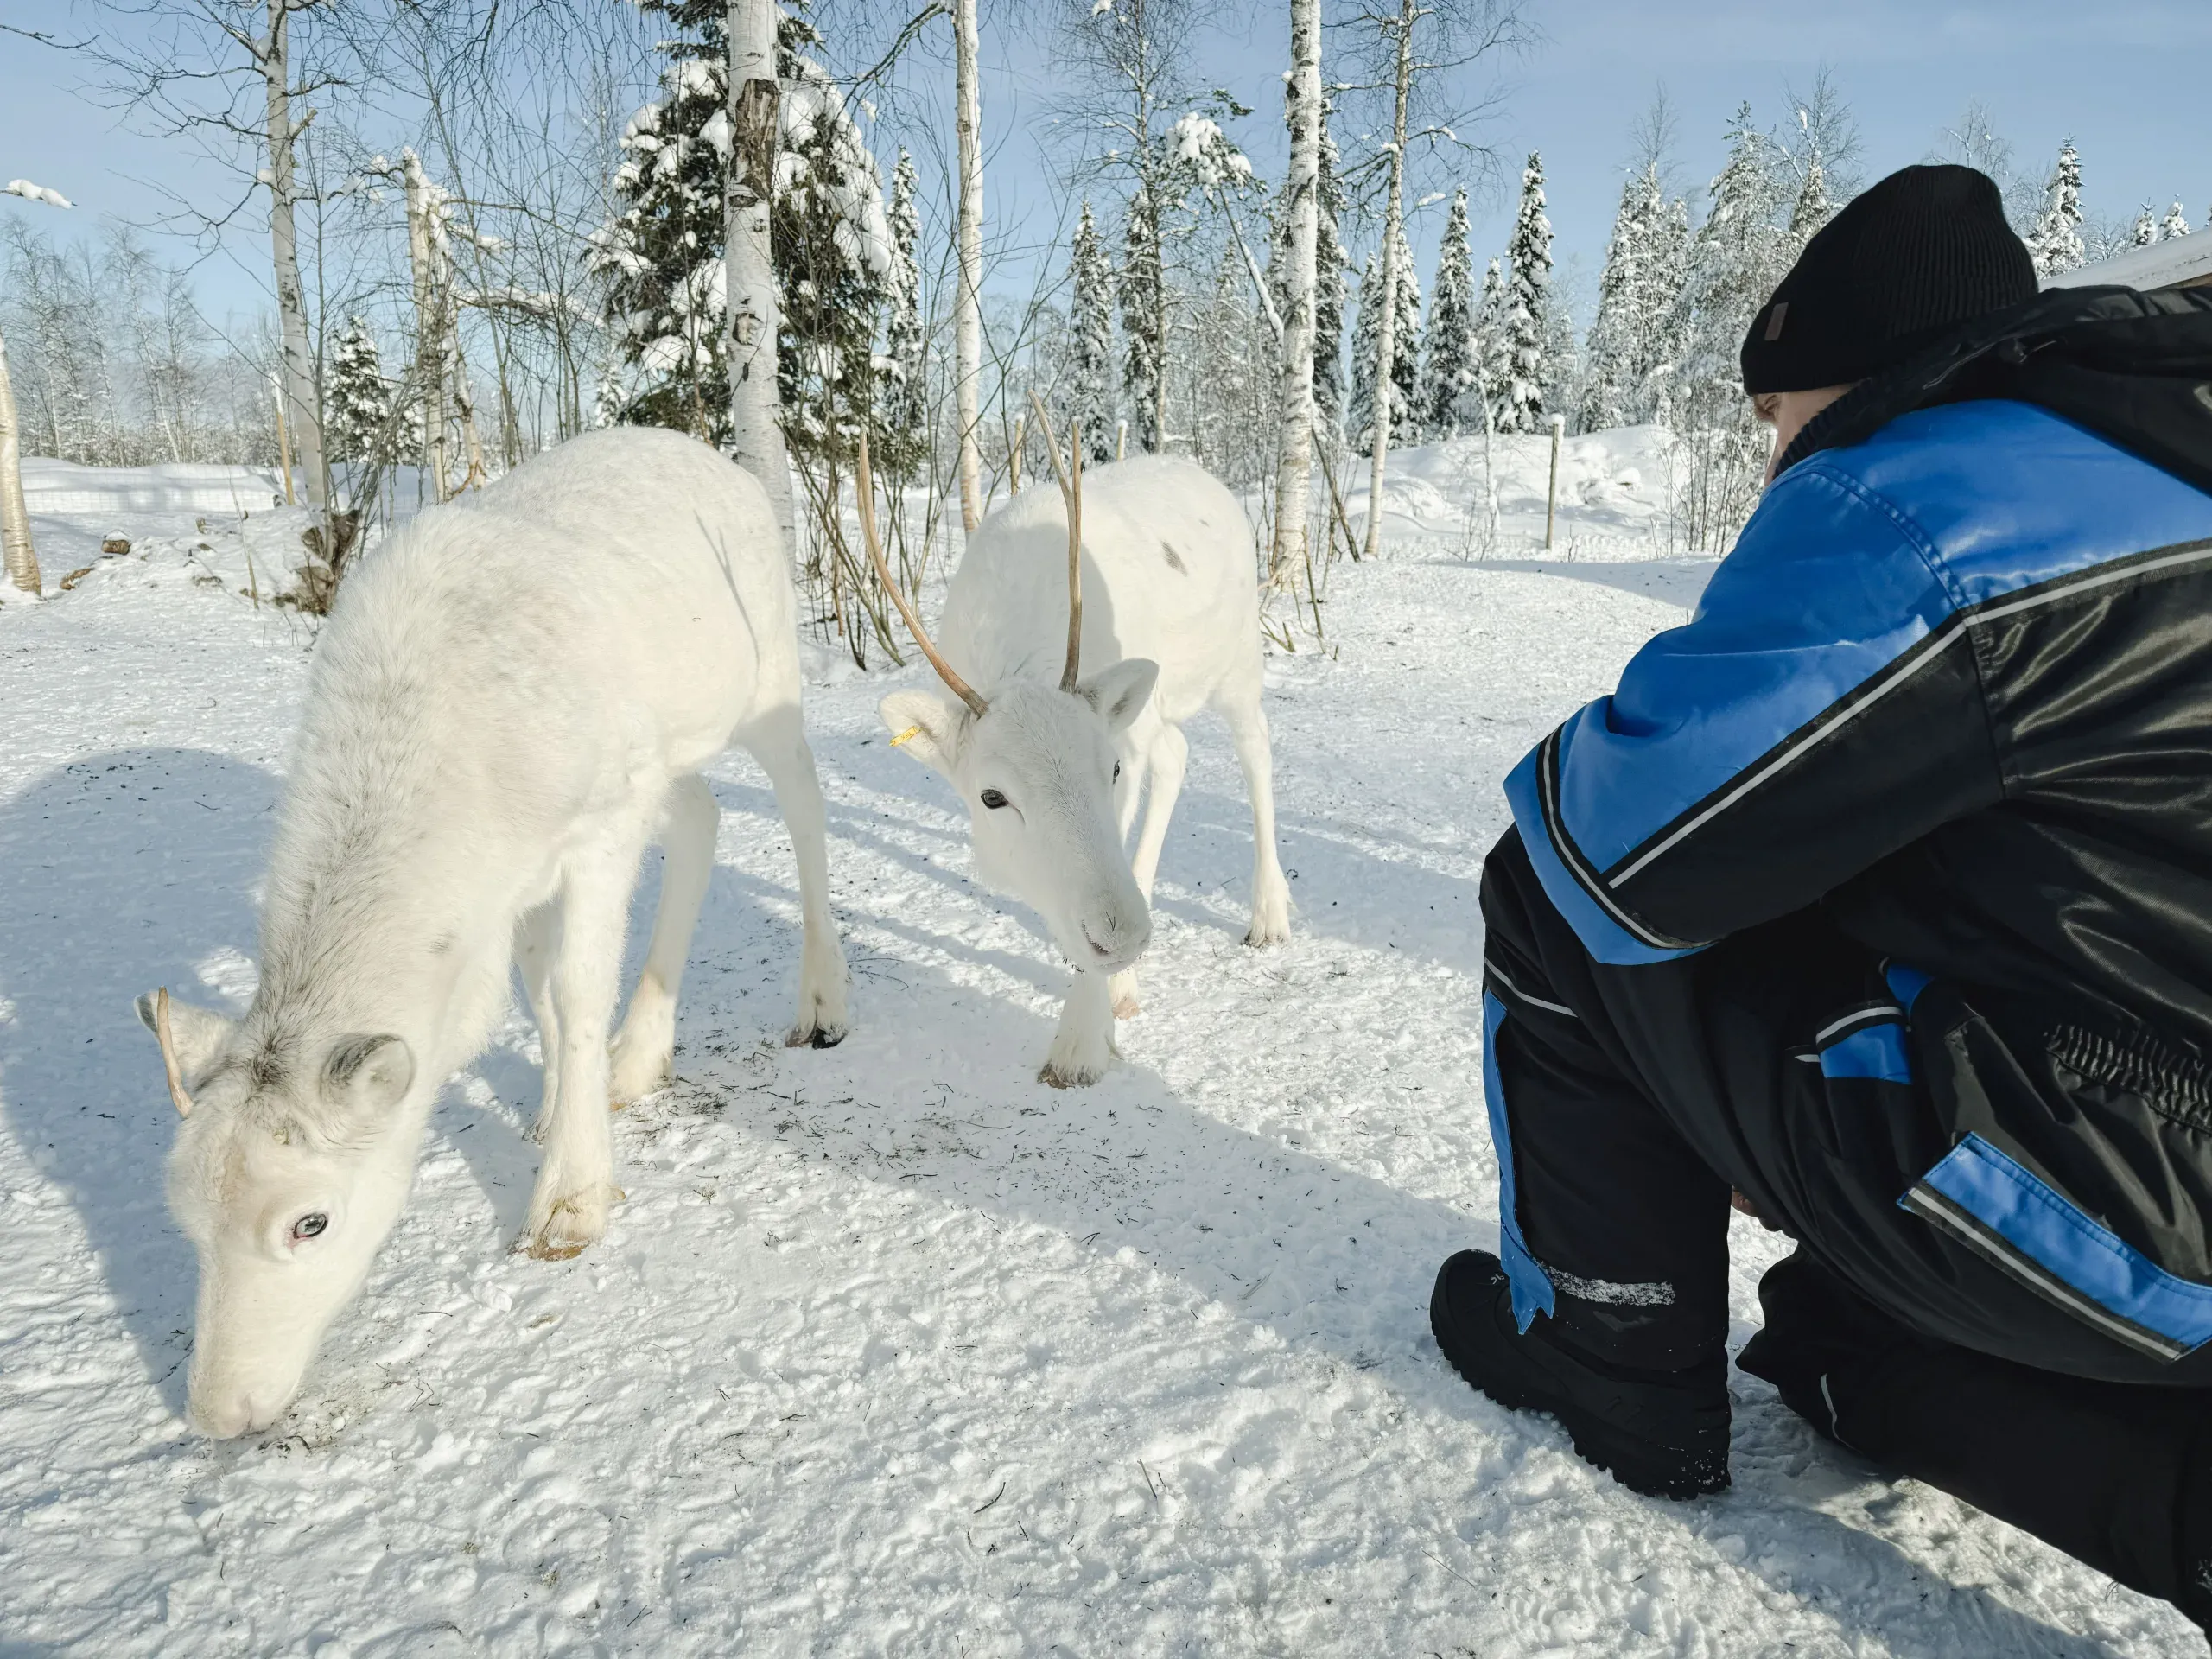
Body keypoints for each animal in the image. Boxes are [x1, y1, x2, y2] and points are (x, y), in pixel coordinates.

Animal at [136, 426, 848, 1437]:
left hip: (765, 688)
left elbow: (578, 995)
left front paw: (571, 1204)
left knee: (803, 806)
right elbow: (536, 991)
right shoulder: (515, 879)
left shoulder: (597, 827)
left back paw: (822, 1004)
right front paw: (557, 1111)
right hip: (670, 754)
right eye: (186, 1219)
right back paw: (641, 1059)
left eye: (311, 1221)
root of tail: (719, 461)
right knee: (704, 818)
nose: (218, 1412)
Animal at [864, 395, 1290, 1088]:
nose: (1126, 937)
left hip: (1237, 668)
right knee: (1179, 755)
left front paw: (1080, 1044)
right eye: (991, 797)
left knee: (1256, 756)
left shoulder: (1128, 743)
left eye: (1109, 770)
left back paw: (1268, 915)